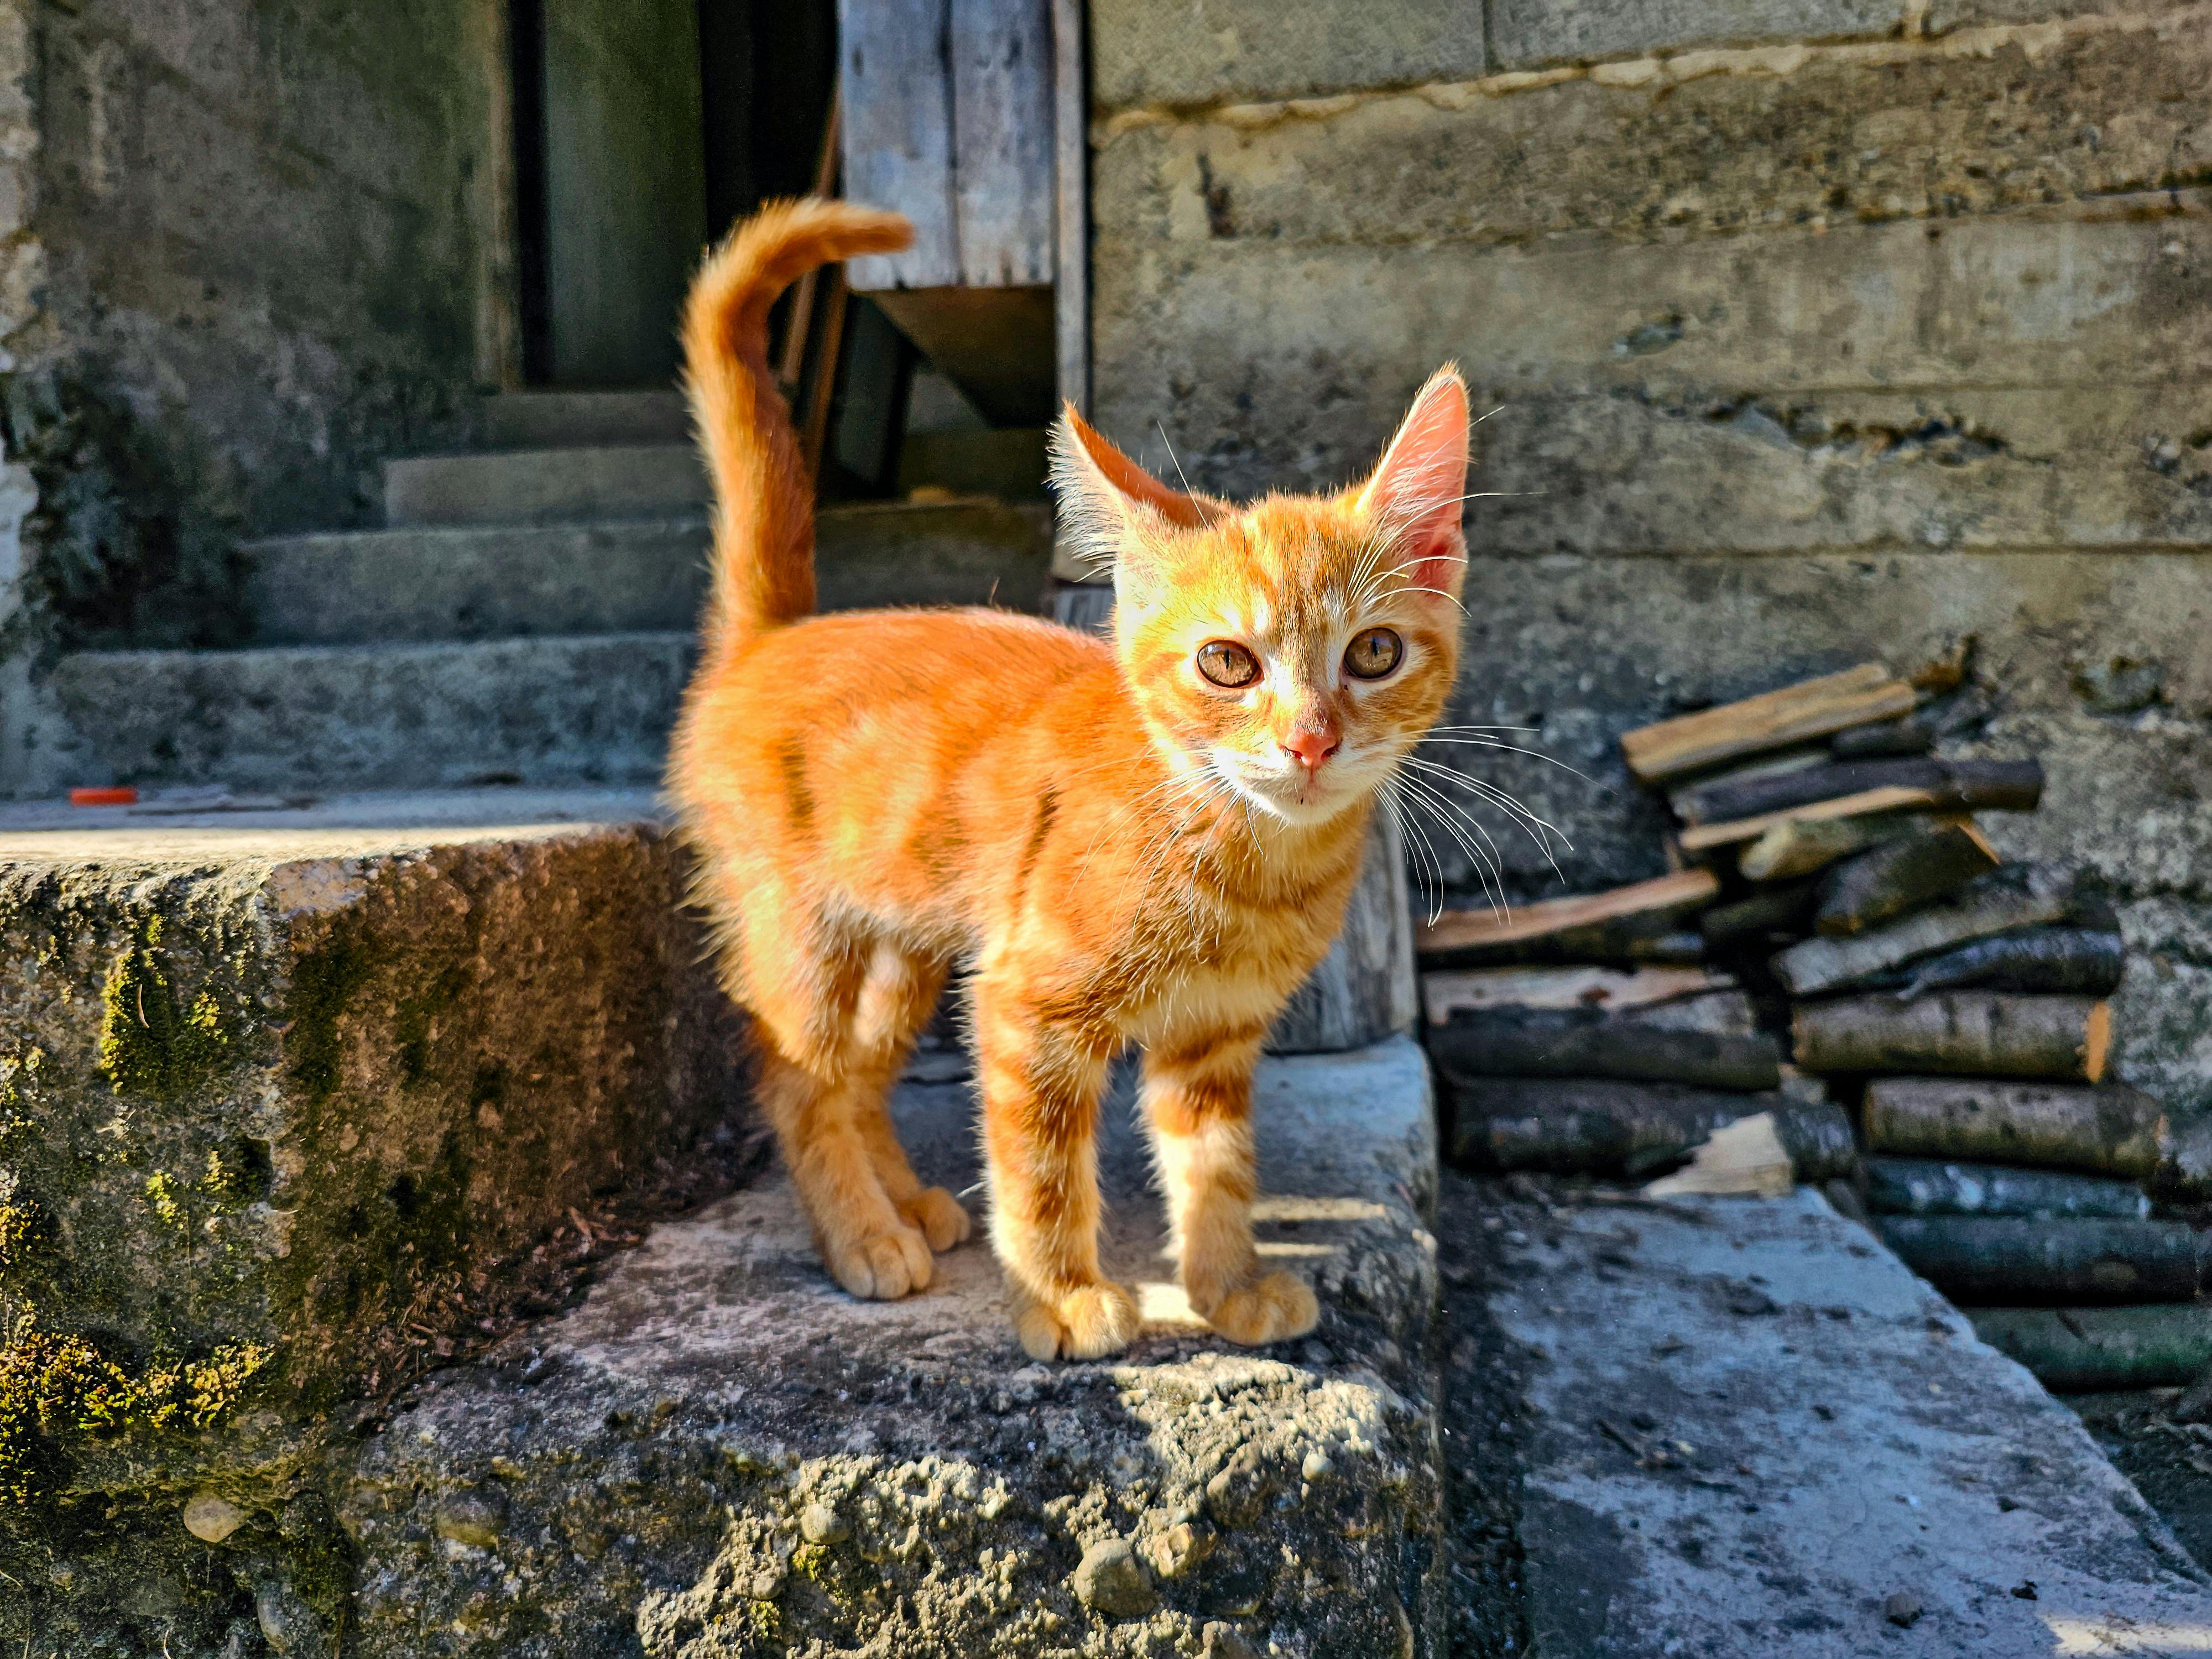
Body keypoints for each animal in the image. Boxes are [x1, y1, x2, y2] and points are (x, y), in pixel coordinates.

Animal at [672, 198, 1469, 1363]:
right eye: (1227, 664)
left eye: (1374, 654)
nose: (1311, 743)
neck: (1238, 853)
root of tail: (778, 638)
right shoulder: (1026, 1004)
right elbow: (1042, 1166)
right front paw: (1061, 1295)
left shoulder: (1213, 1035)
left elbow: (1217, 1164)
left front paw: (1228, 1284)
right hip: (799, 925)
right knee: (794, 1072)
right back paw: (861, 1234)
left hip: (907, 940)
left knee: (859, 1069)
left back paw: (901, 1201)